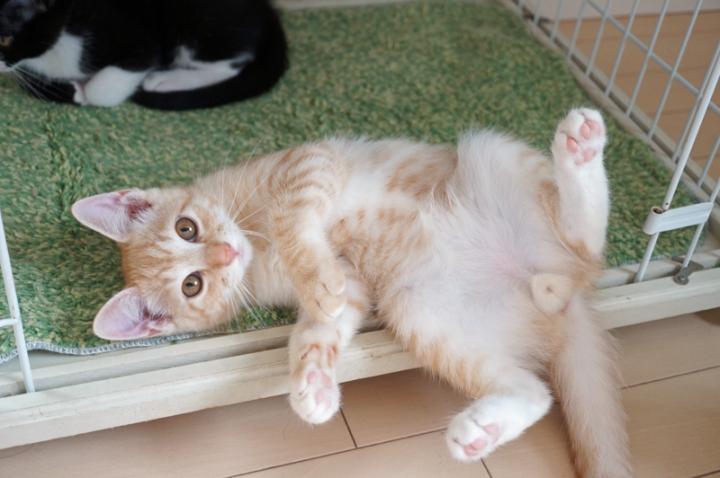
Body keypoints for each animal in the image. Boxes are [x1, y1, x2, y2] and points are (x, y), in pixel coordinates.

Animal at [0, 0, 288, 110]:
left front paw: (85, 92)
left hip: (203, 24)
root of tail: (268, 10)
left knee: (231, 65)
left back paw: (164, 80)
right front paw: (70, 91)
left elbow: (103, 91)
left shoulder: (137, 37)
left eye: (4, 38)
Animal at [72, 109, 631, 478]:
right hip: (421, 311)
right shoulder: (357, 284)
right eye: (193, 285)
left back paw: (579, 153)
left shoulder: (308, 161)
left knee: (587, 247)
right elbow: (322, 327)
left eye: (186, 228)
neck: (256, 244)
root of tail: (554, 284)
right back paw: (482, 429)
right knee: (536, 391)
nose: (226, 254)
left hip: (489, 152)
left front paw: (316, 278)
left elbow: (293, 218)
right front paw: (313, 385)